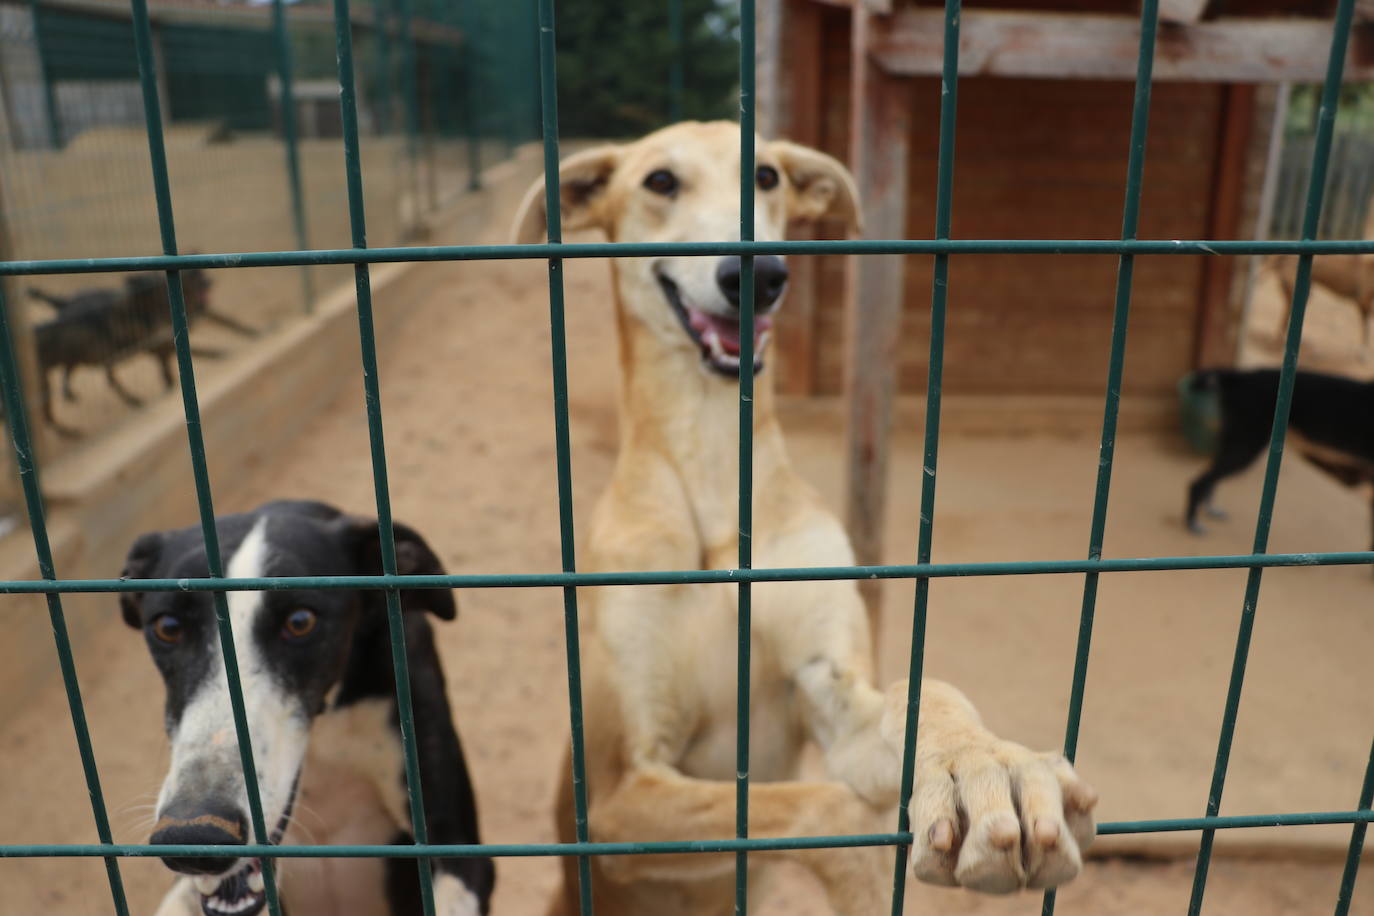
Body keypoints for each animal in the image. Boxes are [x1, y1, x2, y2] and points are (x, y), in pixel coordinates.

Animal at [119, 502, 494, 916]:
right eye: (167, 626)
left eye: (300, 621)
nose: (196, 835)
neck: (326, 730)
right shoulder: (186, 889)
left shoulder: (458, 852)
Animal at [513, 123, 1093, 916]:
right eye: (660, 181)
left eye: (766, 175)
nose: (756, 275)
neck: (715, 480)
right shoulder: (617, 794)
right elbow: (824, 808)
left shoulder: (829, 689)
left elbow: (922, 694)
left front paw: (984, 764)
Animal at [1181, 365, 1374, 538]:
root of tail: (1242, 377)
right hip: (1245, 448)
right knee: (1199, 482)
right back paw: (1192, 522)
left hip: (1236, 444)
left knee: (1210, 477)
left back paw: (1209, 508)